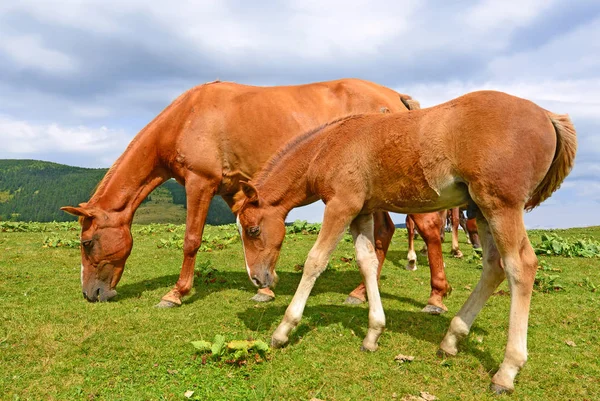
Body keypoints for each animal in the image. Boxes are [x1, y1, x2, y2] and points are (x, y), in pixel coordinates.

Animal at [232, 90, 576, 390]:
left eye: (253, 230)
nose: (257, 278)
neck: (328, 146)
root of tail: (547, 115)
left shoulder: (342, 205)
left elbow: (316, 261)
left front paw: (283, 330)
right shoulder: (361, 212)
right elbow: (367, 262)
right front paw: (373, 333)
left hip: (500, 205)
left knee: (521, 266)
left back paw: (506, 371)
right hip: (481, 207)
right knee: (494, 266)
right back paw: (451, 339)